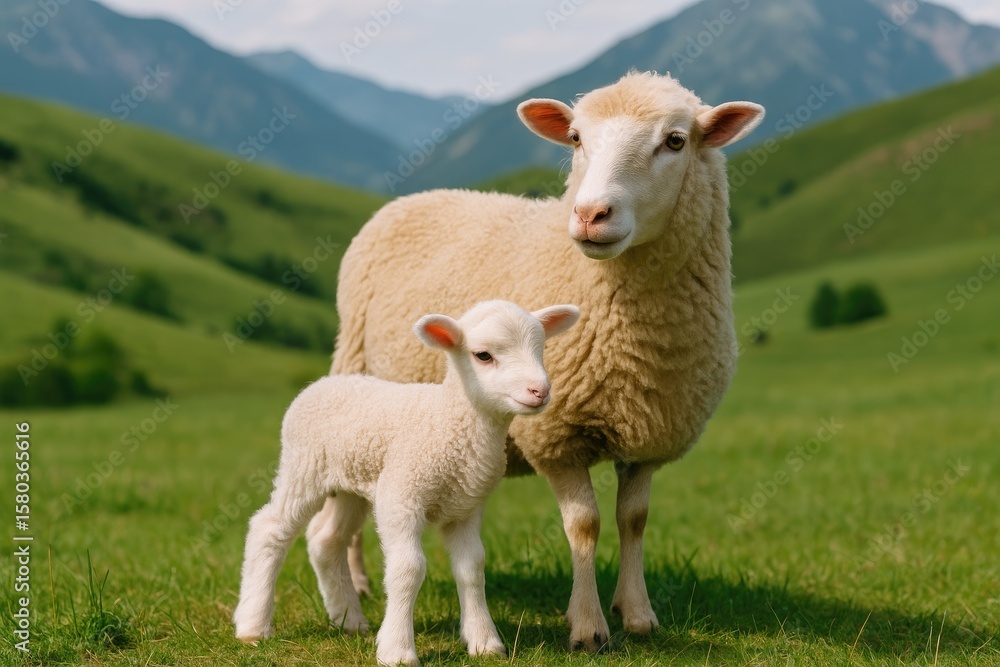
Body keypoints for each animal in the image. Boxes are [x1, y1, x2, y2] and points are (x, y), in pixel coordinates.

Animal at [232, 300, 580, 666]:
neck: (449, 419)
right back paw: (253, 626)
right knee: (269, 528)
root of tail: (322, 383)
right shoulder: (401, 493)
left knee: (327, 539)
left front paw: (484, 642)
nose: (540, 391)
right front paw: (397, 650)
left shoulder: (465, 505)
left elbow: (472, 567)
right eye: (483, 355)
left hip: (353, 483)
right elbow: (409, 569)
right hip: (304, 466)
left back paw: (349, 620)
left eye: (541, 350)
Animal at [313, 71, 765, 652]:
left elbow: (634, 519)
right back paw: (359, 585)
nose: (590, 214)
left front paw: (637, 613)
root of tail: (409, 199)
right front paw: (588, 625)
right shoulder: (557, 436)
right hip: (354, 367)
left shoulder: (648, 435)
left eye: (675, 141)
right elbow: (585, 527)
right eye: (575, 138)